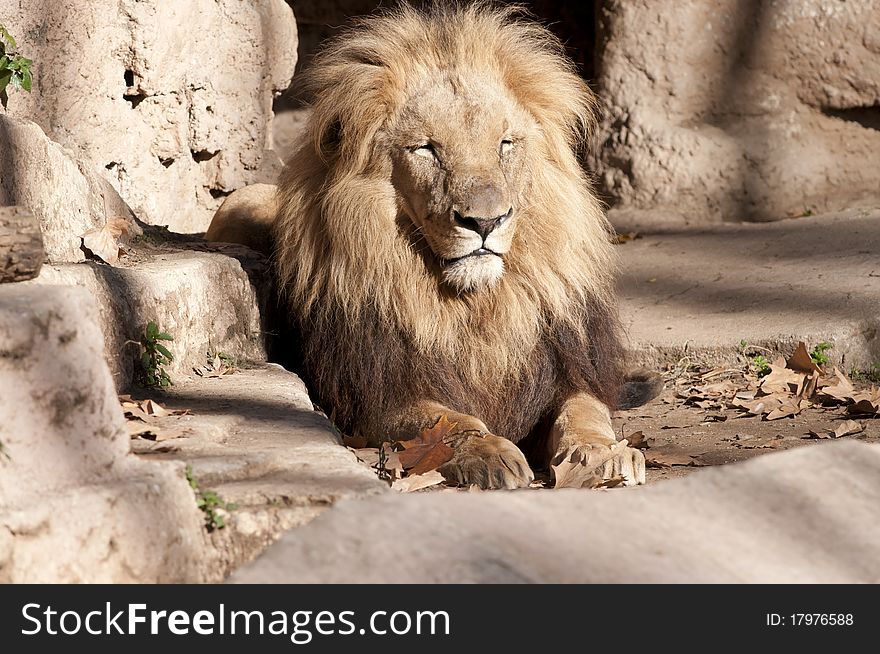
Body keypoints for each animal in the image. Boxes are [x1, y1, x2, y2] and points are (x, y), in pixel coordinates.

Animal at [210, 2, 652, 490]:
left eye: (505, 144)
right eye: (426, 149)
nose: (485, 221)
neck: (477, 307)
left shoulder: (566, 371)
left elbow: (585, 413)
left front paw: (603, 454)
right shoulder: (378, 397)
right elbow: (450, 420)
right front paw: (490, 453)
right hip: (239, 203)